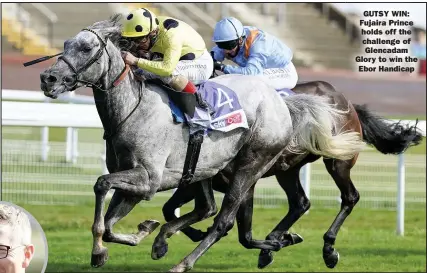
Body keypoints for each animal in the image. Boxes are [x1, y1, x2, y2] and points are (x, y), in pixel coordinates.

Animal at [39, 15, 364, 270]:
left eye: (86, 47)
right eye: (66, 45)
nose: (47, 78)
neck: (134, 107)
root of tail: (282, 103)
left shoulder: (148, 179)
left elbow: (101, 184)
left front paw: (102, 251)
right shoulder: (136, 183)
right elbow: (108, 225)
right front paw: (142, 233)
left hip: (255, 165)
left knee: (225, 221)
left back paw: (187, 262)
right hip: (217, 170)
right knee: (253, 208)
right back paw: (278, 240)